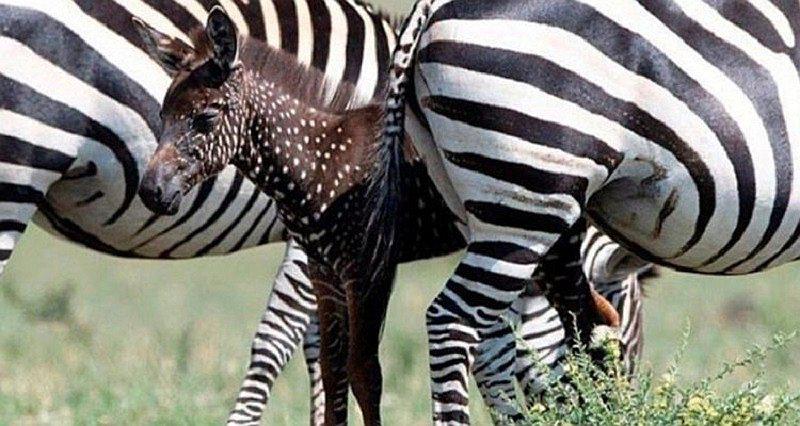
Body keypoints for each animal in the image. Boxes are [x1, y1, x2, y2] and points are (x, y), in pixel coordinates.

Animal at [0, 0, 646, 424]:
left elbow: (354, 367)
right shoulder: (325, 265)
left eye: (204, 120)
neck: (317, 149)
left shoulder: (361, 267)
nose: (153, 193)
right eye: (160, 115)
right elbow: (334, 366)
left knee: (587, 319)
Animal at [381, 0, 800, 423]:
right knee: (453, 323)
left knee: (493, 338)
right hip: (530, 195)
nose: (616, 403)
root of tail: (435, 5)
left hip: (484, 202)